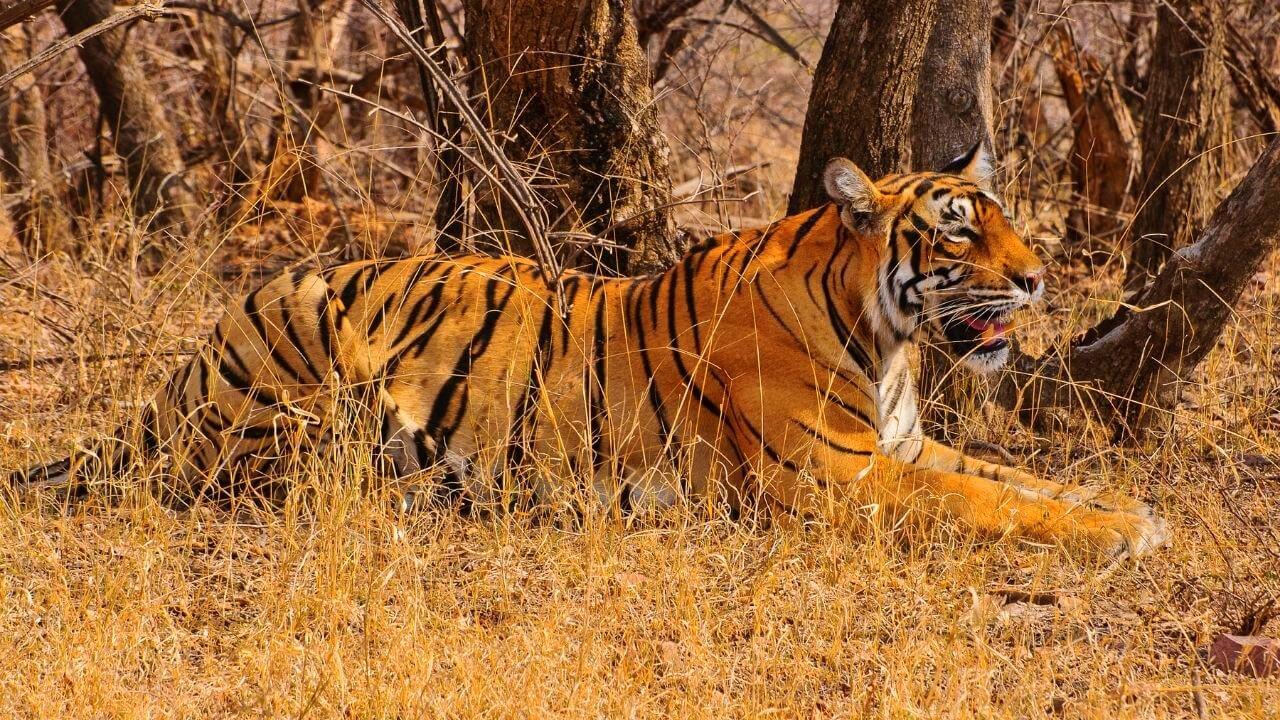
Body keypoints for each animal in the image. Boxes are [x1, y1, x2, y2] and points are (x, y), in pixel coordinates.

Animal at [11, 144, 1169, 559]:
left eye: (1004, 219)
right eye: (960, 231)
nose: (1039, 278)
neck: (885, 339)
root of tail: (185, 367)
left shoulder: (903, 447)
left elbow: (1019, 479)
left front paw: (1128, 510)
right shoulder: (837, 478)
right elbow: (995, 502)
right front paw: (1126, 534)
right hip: (298, 340)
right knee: (271, 480)